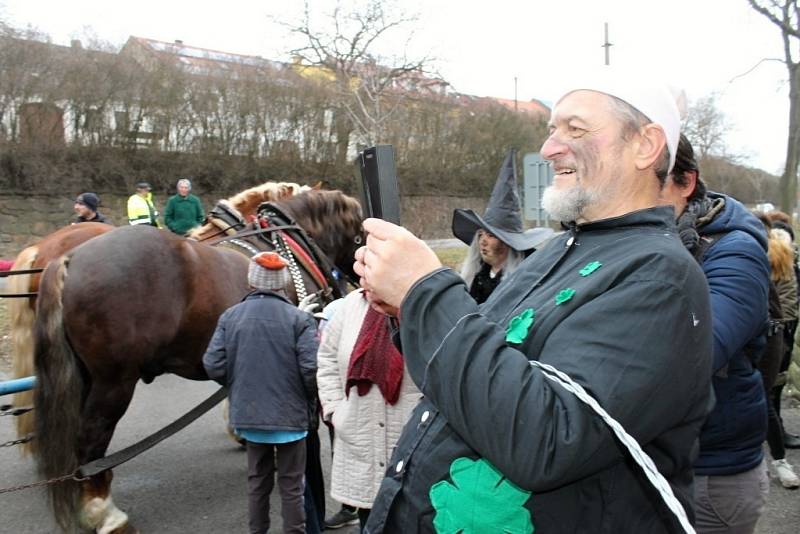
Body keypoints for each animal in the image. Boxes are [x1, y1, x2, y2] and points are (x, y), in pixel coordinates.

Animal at [32, 191, 362, 532]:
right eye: (360, 234)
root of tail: (69, 259)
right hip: (114, 382)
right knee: (91, 440)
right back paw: (106, 513)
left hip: (85, 377)